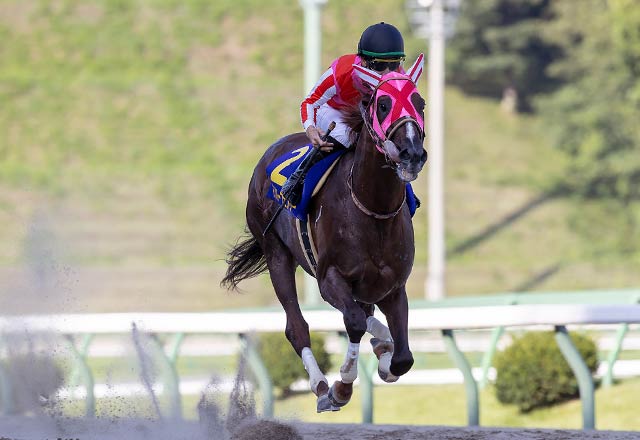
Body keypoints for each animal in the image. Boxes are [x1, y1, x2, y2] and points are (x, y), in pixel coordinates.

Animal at [221, 55, 427, 412]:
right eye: (383, 104)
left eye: (420, 103)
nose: (412, 154)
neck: (372, 208)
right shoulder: (329, 278)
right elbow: (354, 322)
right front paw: (340, 387)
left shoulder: (393, 287)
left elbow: (403, 358)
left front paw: (386, 357)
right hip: (277, 254)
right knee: (298, 326)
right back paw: (319, 384)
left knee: (365, 315)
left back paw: (380, 343)